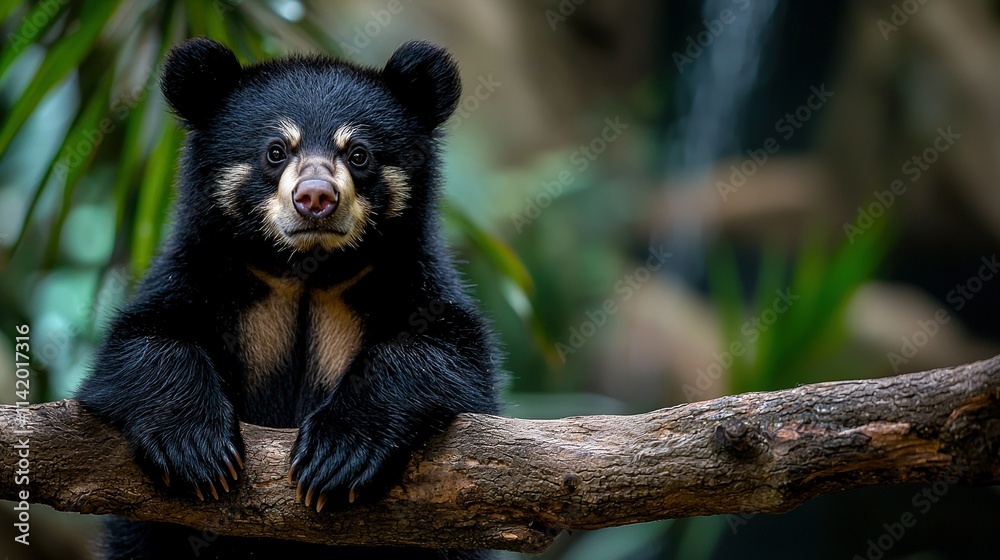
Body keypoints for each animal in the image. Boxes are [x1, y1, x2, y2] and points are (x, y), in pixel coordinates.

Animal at [75, 37, 500, 560]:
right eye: (275, 151)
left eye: (358, 154)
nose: (315, 197)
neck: (306, 272)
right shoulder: (198, 272)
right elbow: (140, 343)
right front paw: (198, 451)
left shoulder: (413, 280)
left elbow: (449, 354)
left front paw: (336, 456)